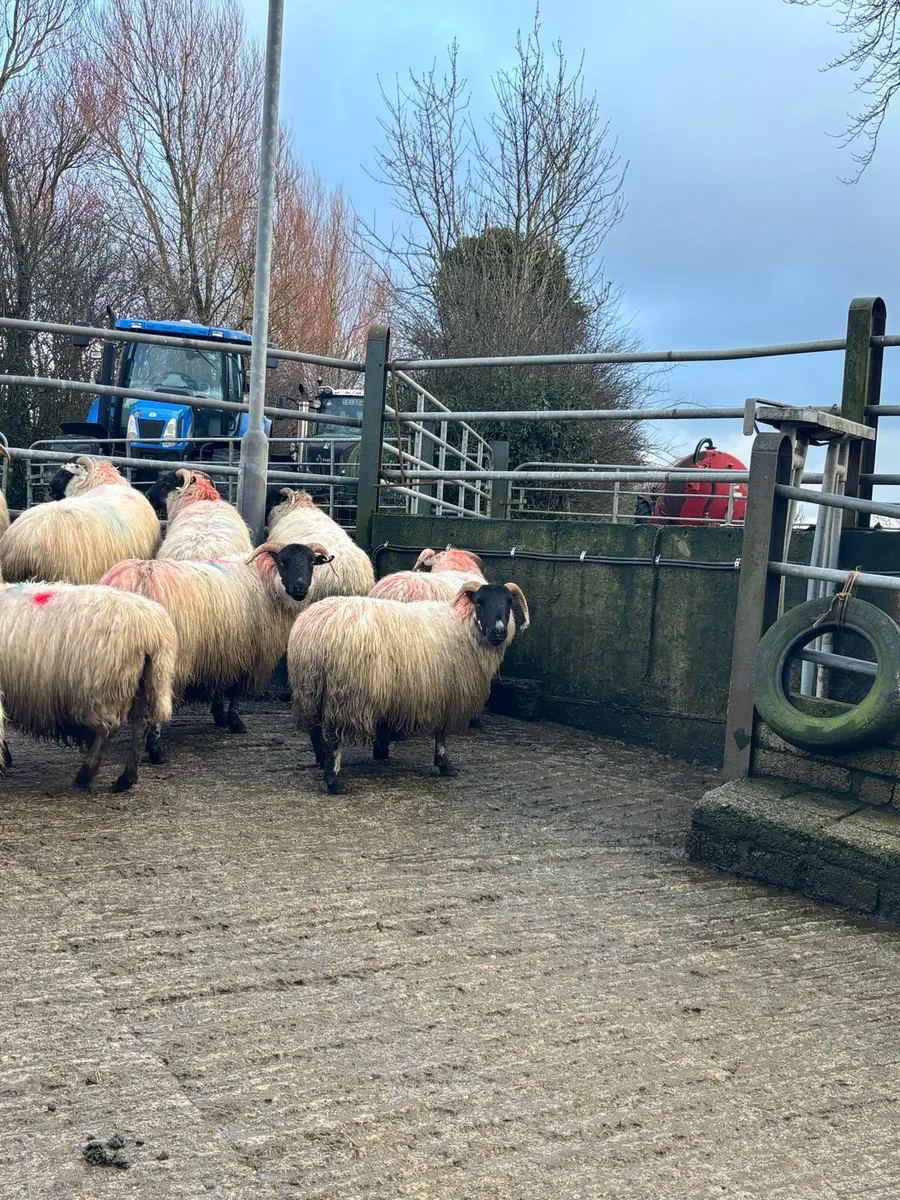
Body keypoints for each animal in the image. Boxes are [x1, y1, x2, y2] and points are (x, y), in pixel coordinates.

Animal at [0, 580, 177, 791]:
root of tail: (152, 631)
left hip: (101, 688)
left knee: (108, 729)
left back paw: (86, 773)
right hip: (142, 682)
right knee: (140, 725)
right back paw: (127, 778)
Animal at [100, 539, 333, 759]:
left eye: (311, 562)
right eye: (284, 561)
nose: (300, 587)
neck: (264, 579)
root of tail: (136, 578)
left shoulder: (223, 650)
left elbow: (220, 684)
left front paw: (220, 714)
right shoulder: (246, 650)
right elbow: (235, 689)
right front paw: (235, 722)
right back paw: (156, 751)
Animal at [288, 580, 530, 793]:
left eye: (509, 602)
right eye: (479, 602)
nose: (498, 632)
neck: (462, 626)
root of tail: (318, 630)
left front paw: (382, 749)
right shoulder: (447, 694)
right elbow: (441, 733)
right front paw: (444, 764)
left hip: (309, 687)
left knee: (314, 727)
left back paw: (321, 759)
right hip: (346, 692)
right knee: (334, 735)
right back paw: (334, 780)